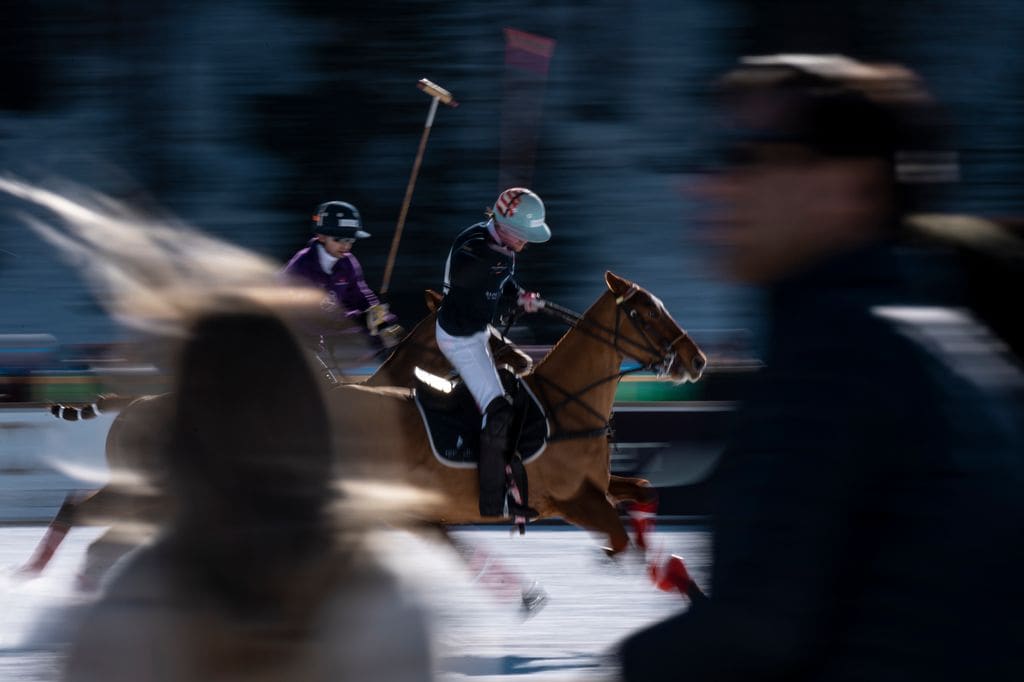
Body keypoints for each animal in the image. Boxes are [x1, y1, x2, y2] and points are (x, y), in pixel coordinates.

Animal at [327, 270, 704, 552]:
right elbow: (620, 537)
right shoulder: (571, 499)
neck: (563, 407)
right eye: (650, 313)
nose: (697, 359)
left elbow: (643, 487)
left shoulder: (597, 486)